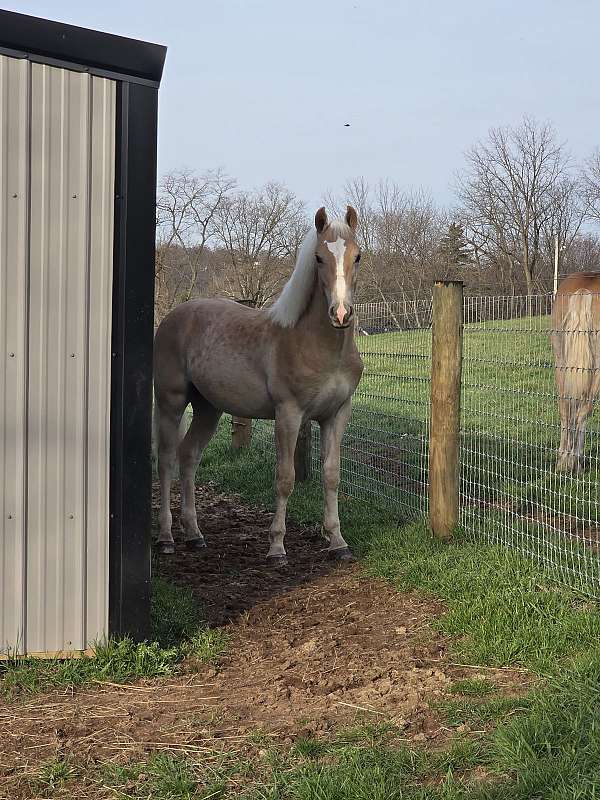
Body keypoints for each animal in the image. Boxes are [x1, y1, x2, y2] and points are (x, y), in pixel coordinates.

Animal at [153, 206, 364, 563]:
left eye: (358, 255)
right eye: (319, 257)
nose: (340, 313)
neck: (318, 346)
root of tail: (173, 316)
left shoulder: (337, 414)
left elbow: (332, 475)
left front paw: (338, 542)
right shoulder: (288, 415)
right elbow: (285, 478)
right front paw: (277, 547)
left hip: (208, 408)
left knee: (189, 455)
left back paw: (195, 534)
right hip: (171, 402)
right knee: (167, 459)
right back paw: (166, 537)